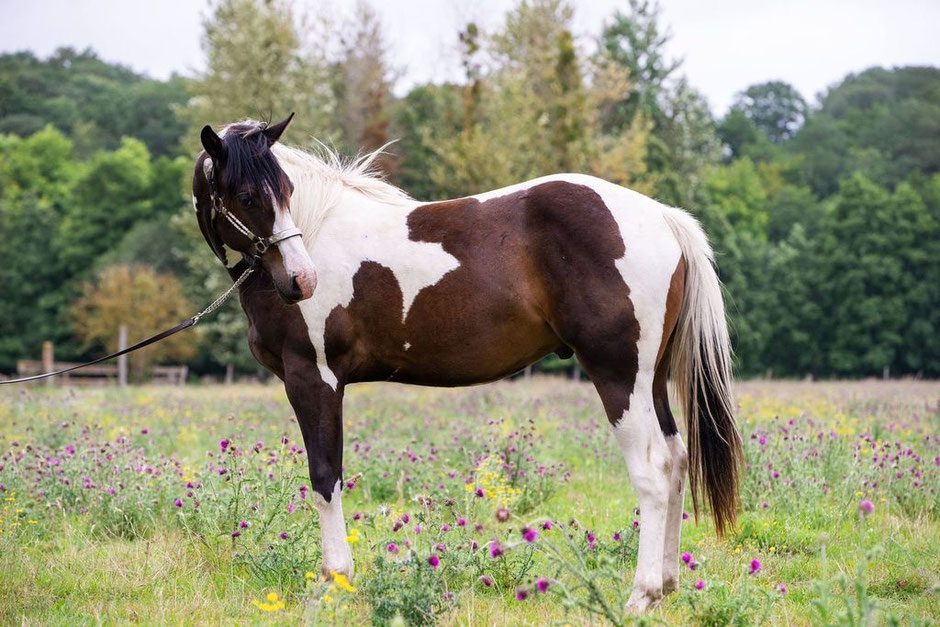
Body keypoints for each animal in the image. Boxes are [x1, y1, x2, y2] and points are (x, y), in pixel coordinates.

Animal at [192, 114, 743, 612]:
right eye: (248, 196)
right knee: (676, 461)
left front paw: (334, 583)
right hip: (651, 381)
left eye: (284, 190)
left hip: (619, 377)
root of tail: (663, 217)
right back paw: (665, 586)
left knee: (652, 471)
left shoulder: (315, 378)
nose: (302, 280)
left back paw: (639, 596)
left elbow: (326, 477)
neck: (318, 229)